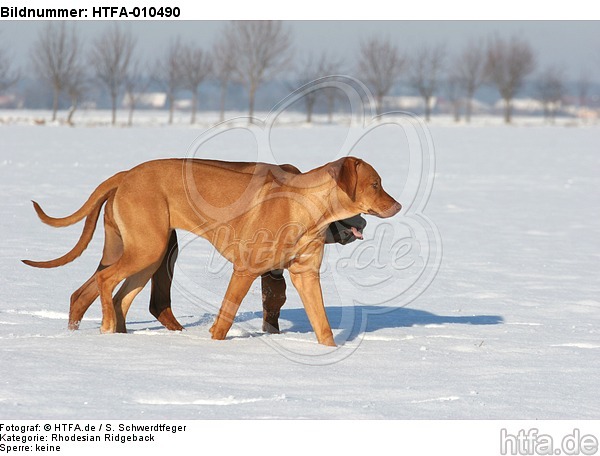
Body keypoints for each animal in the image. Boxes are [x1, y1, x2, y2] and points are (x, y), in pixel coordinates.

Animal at [23, 157, 400, 346]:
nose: (397, 206)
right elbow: (224, 320)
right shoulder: (245, 270)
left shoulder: (305, 276)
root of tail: (125, 174)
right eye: (376, 184)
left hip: (147, 256)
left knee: (111, 295)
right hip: (147, 249)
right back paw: (105, 328)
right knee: (103, 283)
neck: (306, 206)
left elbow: (323, 327)